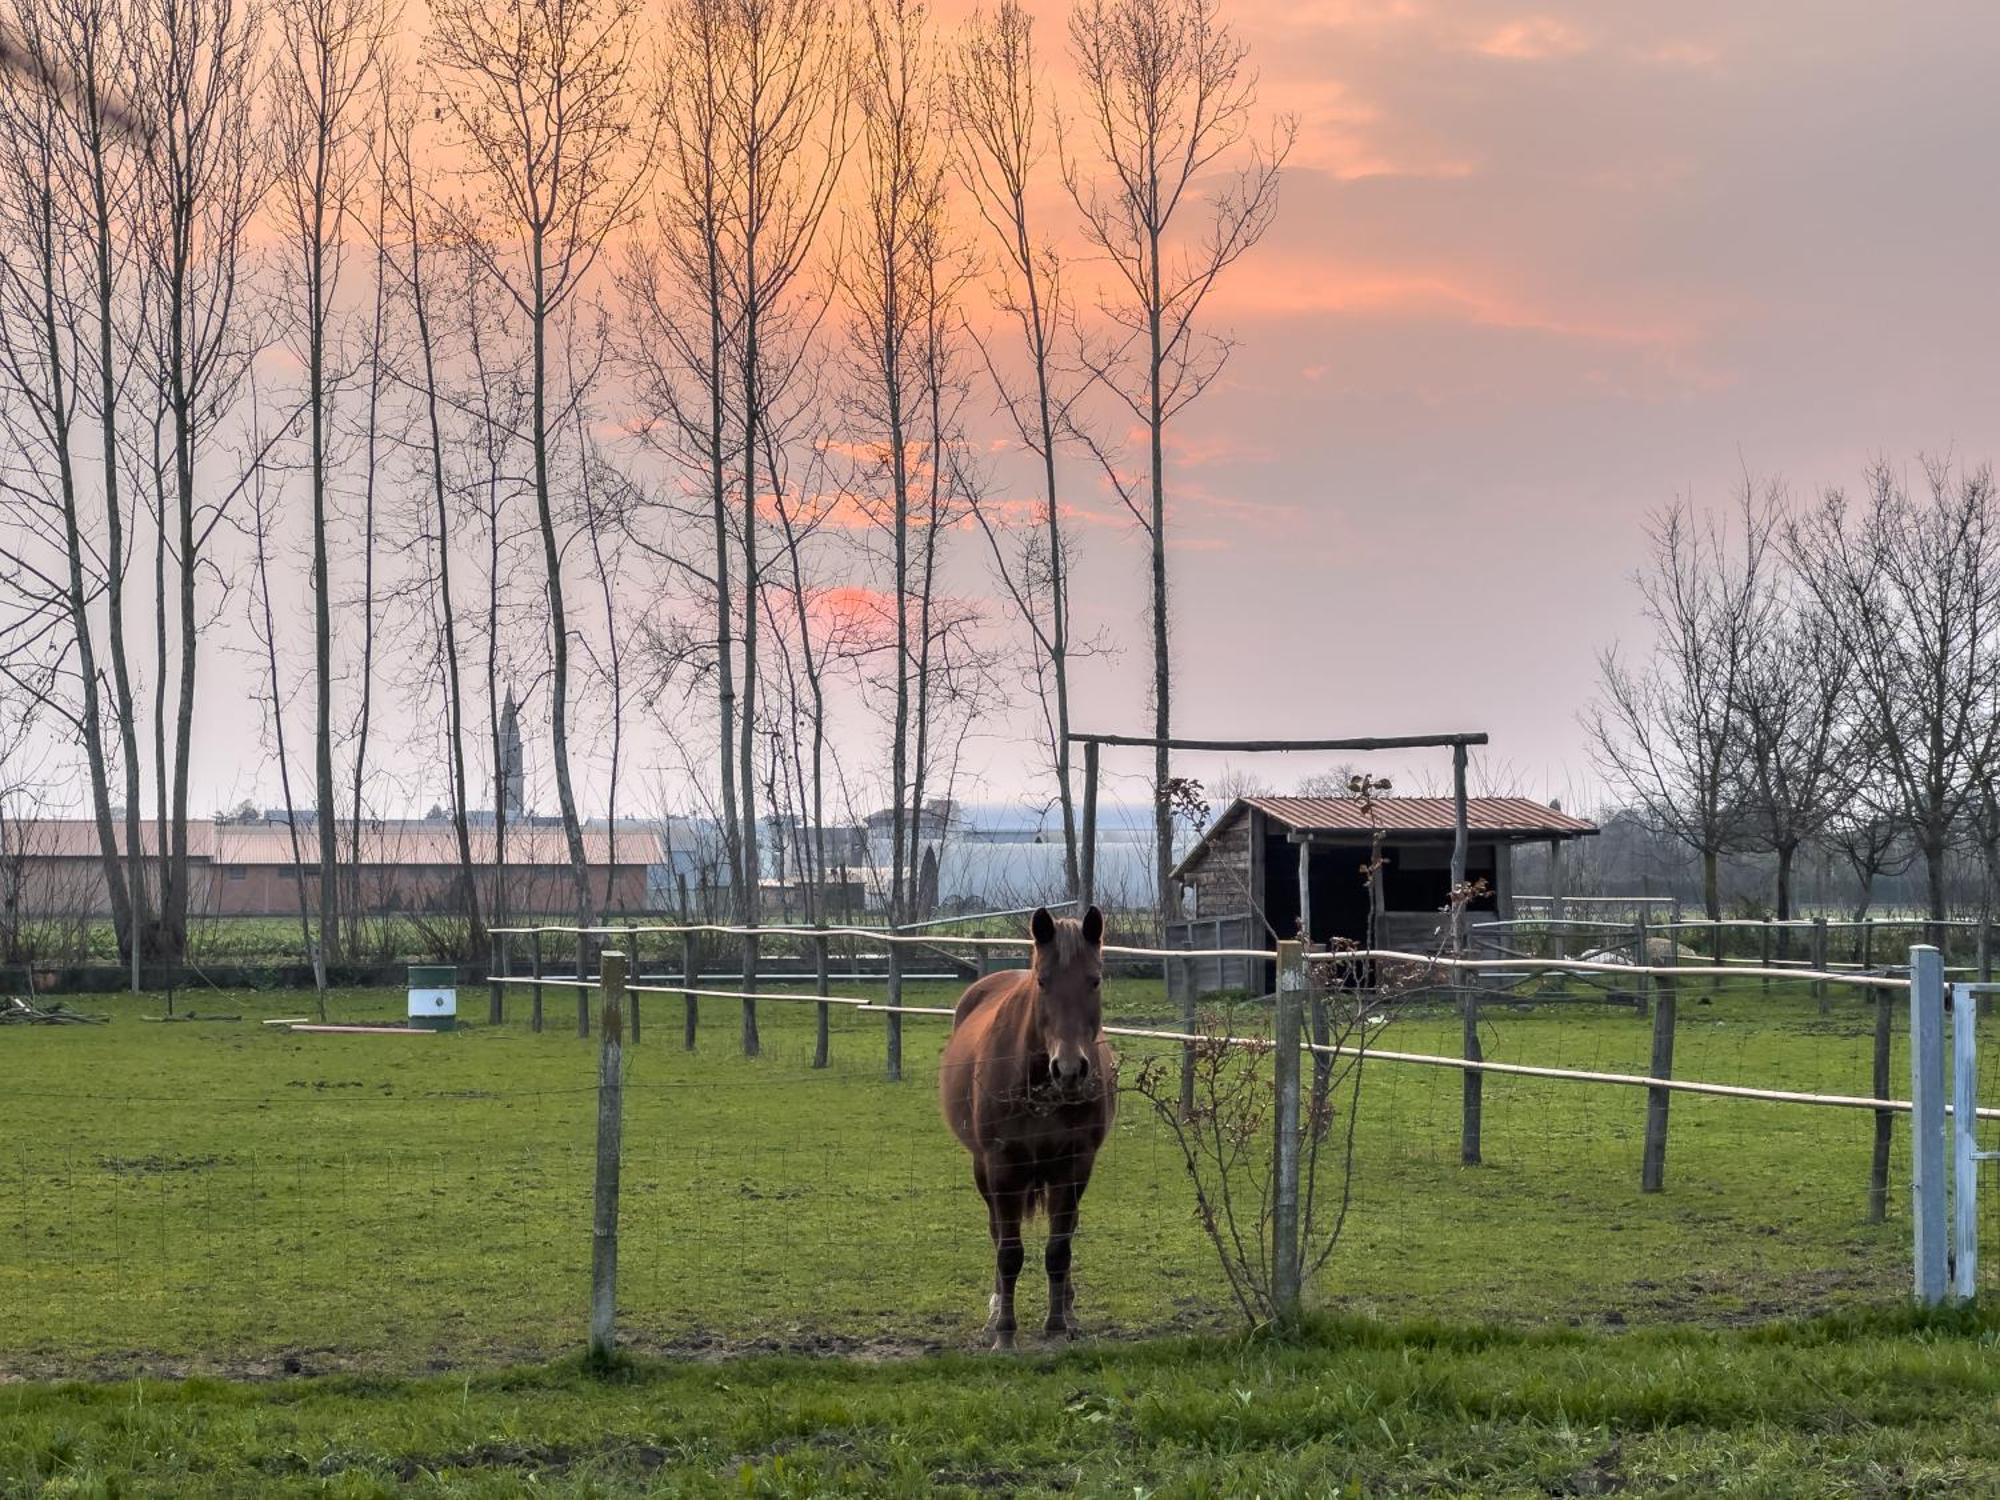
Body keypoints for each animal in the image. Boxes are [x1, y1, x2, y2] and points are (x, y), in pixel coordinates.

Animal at [944, 904, 1120, 1352]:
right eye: (1043, 981)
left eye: (1095, 980)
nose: (1070, 1069)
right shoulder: (1002, 1167)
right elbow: (1009, 1252)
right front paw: (1005, 1333)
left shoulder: (1075, 1166)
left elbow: (1059, 1250)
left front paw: (1056, 1325)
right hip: (984, 1170)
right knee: (996, 1234)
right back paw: (994, 1311)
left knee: (1067, 1233)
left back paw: (1069, 1310)